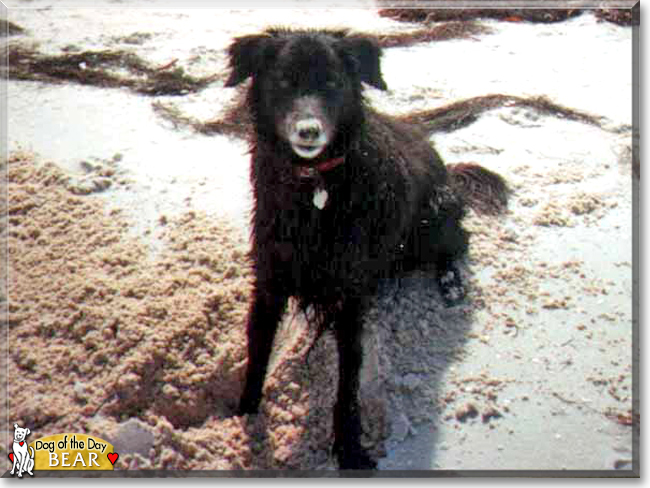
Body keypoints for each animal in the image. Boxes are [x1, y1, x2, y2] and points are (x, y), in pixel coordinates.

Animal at [227, 27, 506, 468]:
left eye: (332, 83)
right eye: (283, 81)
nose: (308, 131)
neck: (315, 189)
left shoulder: (351, 297)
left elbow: (348, 384)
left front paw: (349, 449)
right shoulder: (270, 280)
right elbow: (257, 353)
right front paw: (244, 415)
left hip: (432, 220)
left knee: (459, 242)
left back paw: (451, 284)